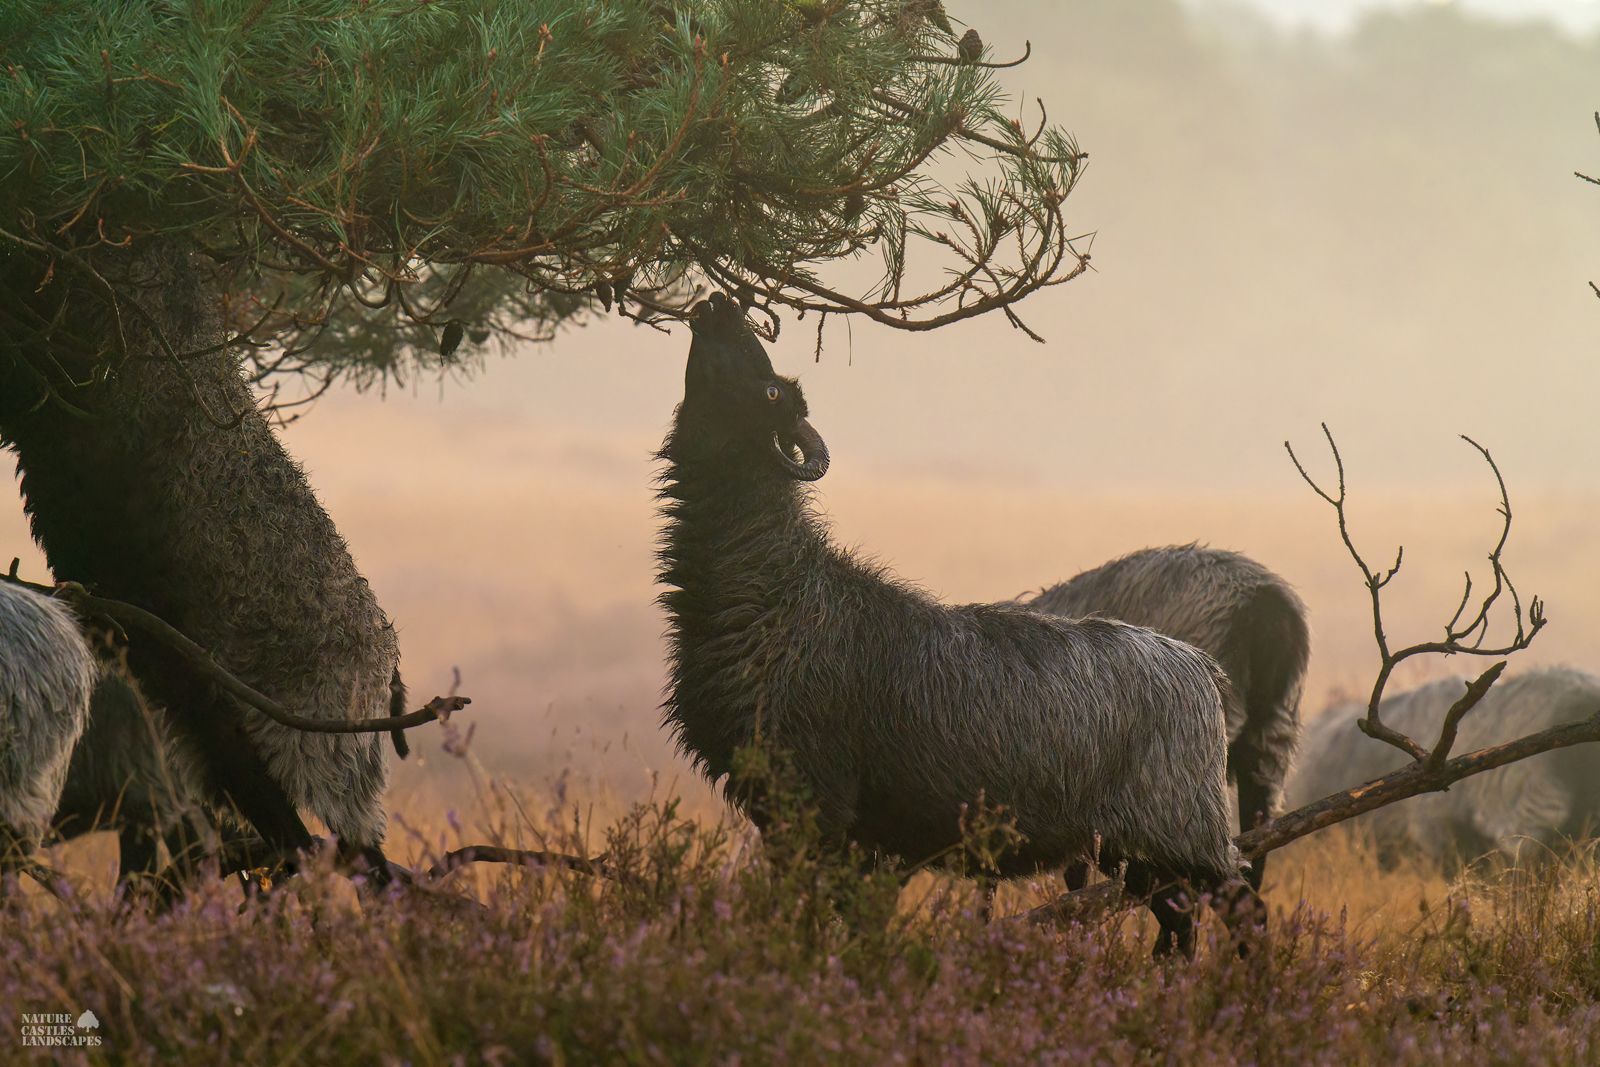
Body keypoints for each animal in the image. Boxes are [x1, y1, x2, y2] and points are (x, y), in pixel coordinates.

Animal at [656, 293, 1256, 956]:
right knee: (1178, 922)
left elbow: (809, 909)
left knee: (1241, 904)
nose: (721, 303)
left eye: (770, 391)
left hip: (1179, 823)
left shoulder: (817, 795)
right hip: (1143, 846)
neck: (774, 582)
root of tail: (1201, 668)